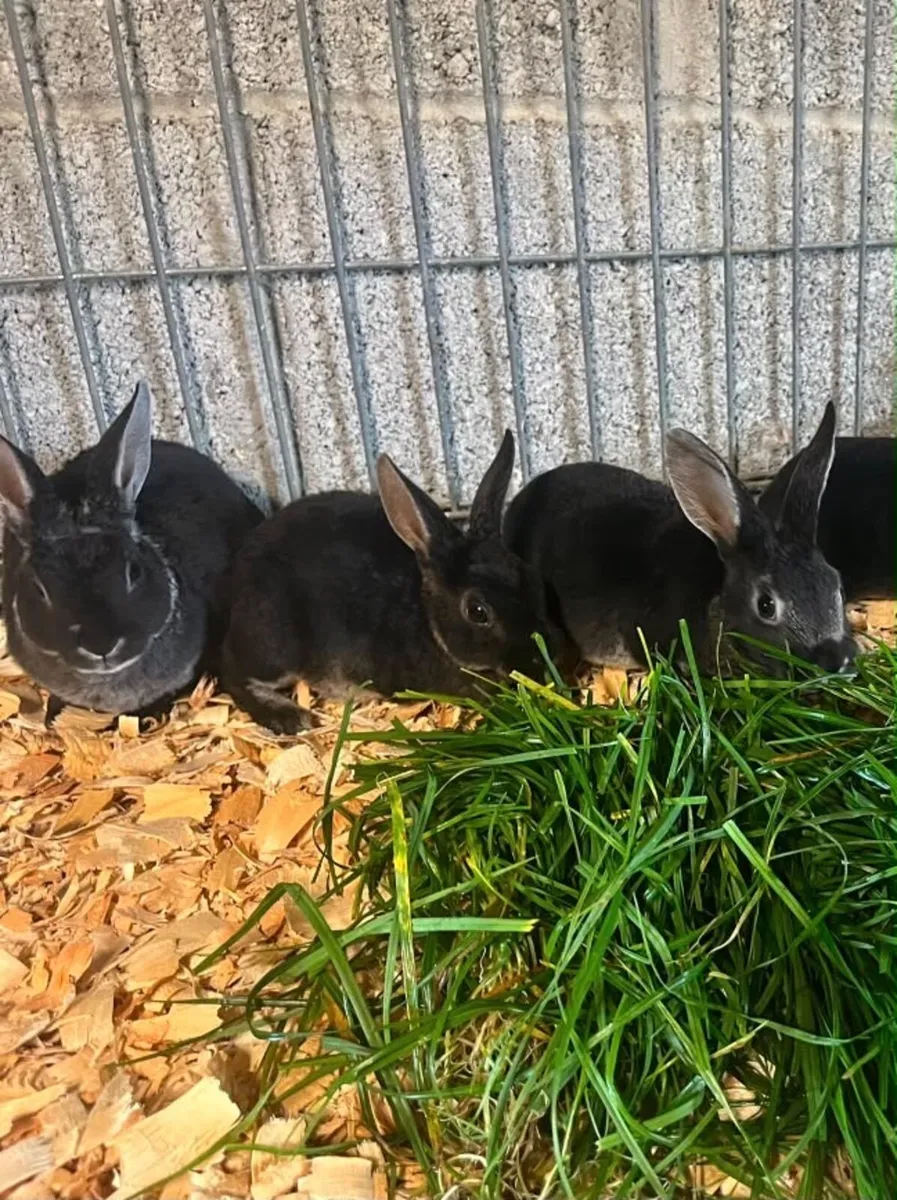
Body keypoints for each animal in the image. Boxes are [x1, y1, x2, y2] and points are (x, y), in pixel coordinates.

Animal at [221, 431, 570, 734]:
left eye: (532, 580)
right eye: (477, 611)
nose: (546, 660)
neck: (428, 621)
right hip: (275, 644)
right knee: (235, 675)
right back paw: (290, 718)